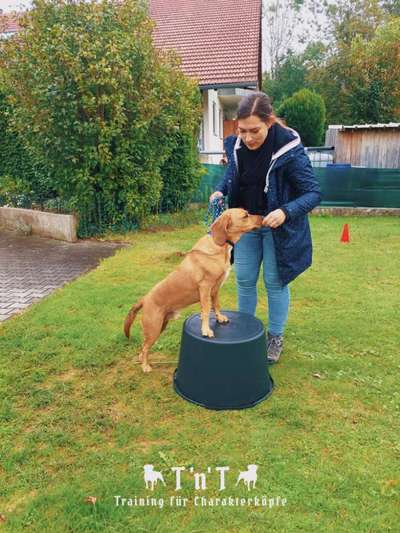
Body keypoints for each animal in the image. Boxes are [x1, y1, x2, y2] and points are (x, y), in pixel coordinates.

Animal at [124, 208, 262, 370]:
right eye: (245, 216)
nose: (262, 217)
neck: (219, 245)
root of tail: (144, 300)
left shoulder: (215, 289)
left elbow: (216, 305)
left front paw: (219, 317)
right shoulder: (205, 287)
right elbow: (206, 310)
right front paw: (206, 330)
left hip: (160, 326)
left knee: (142, 348)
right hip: (153, 329)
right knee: (145, 347)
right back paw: (145, 366)